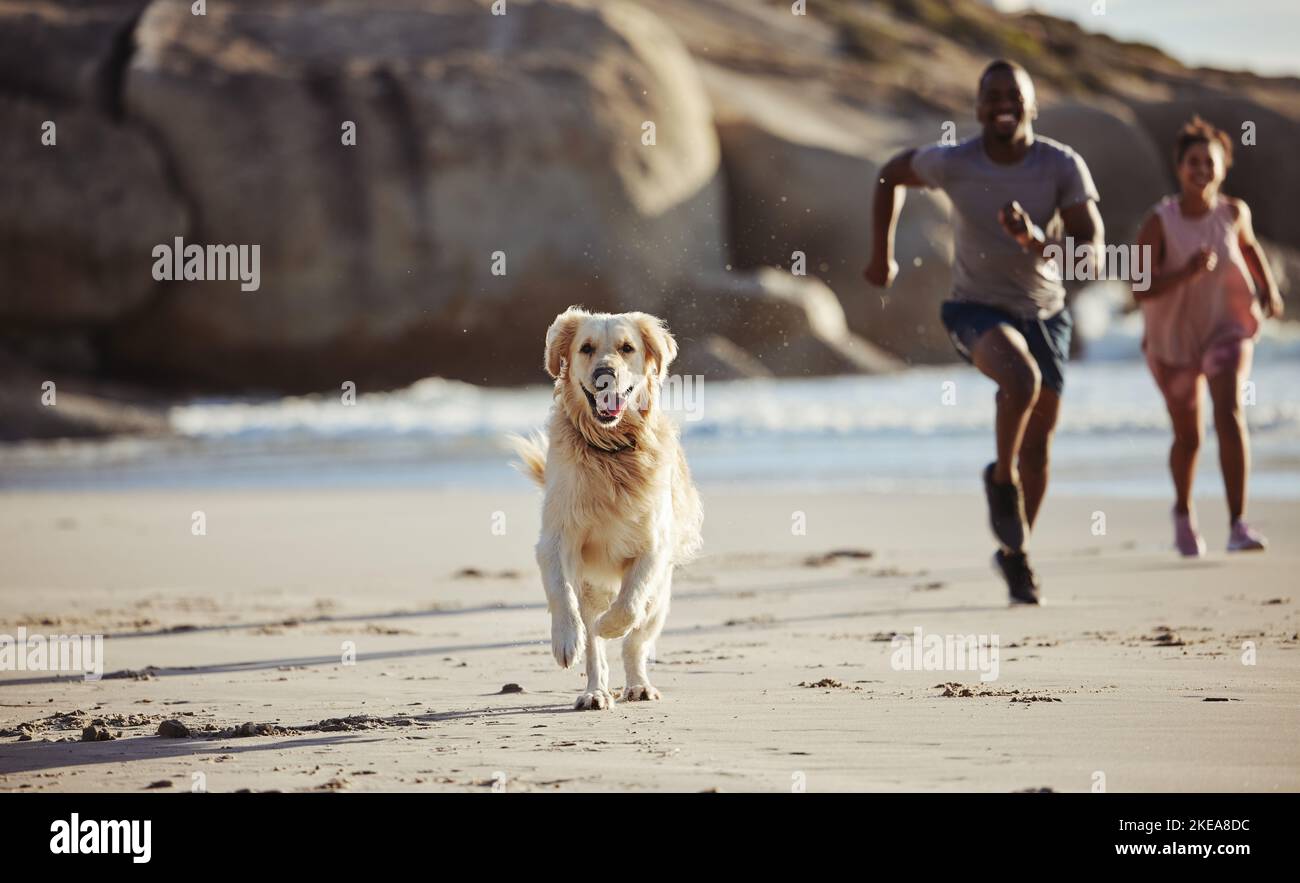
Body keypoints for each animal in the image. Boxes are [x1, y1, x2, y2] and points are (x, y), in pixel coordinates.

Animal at [512, 306, 707, 707]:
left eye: (627, 348)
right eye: (586, 348)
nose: (605, 374)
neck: (610, 450)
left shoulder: (653, 547)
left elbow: (629, 606)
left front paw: (610, 625)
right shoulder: (555, 538)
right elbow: (561, 593)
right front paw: (566, 639)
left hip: (661, 599)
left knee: (637, 640)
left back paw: (638, 685)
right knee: (594, 648)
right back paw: (595, 691)